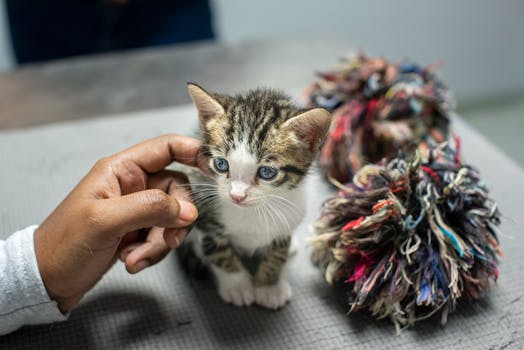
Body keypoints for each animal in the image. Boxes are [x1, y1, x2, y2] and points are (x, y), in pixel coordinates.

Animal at [182, 84, 330, 308]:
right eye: (221, 164)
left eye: (267, 172)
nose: (237, 195)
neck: (254, 211)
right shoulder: (205, 215)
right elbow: (218, 252)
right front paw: (238, 286)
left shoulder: (288, 218)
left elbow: (278, 252)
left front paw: (269, 287)